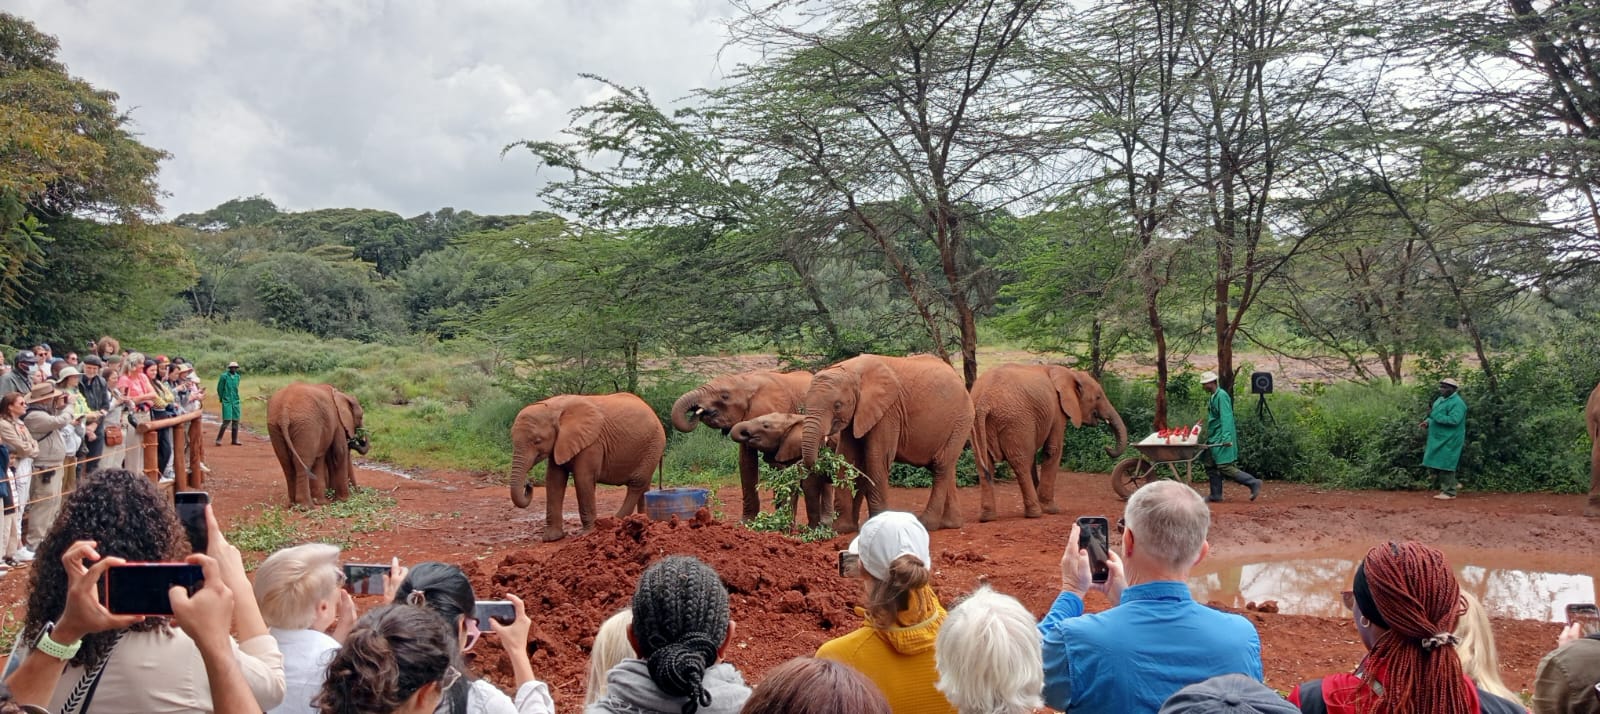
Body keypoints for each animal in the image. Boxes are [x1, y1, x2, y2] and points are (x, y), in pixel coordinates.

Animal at [509, 393, 666, 542]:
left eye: (537, 441)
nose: (528, 484)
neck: (555, 408)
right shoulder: (560, 443)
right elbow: (554, 480)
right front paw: (552, 538)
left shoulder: (592, 442)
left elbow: (583, 478)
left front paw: (587, 533)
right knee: (644, 485)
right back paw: (643, 520)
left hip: (654, 444)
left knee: (637, 483)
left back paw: (615, 521)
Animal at [671, 370, 812, 520]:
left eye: (725, 396)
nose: (697, 412)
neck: (745, 381)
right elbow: (746, 462)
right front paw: (748, 521)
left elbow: (777, 465)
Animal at [799, 354, 974, 534]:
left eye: (837, 405)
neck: (853, 370)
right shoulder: (858, 413)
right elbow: (848, 458)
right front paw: (842, 529)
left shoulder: (888, 411)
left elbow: (876, 458)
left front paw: (876, 525)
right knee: (946, 466)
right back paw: (950, 525)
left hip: (962, 420)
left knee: (941, 466)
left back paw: (927, 524)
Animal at [970, 364, 1129, 522]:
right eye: (1098, 397)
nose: (1107, 447)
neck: (1069, 373)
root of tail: (984, 401)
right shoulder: (1057, 410)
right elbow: (1052, 450)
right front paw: (1051, 510)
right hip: (1015, 421)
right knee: (1020, 463)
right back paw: (1035, 514)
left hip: (979, 424)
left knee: (984, 464)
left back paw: (987, 517)